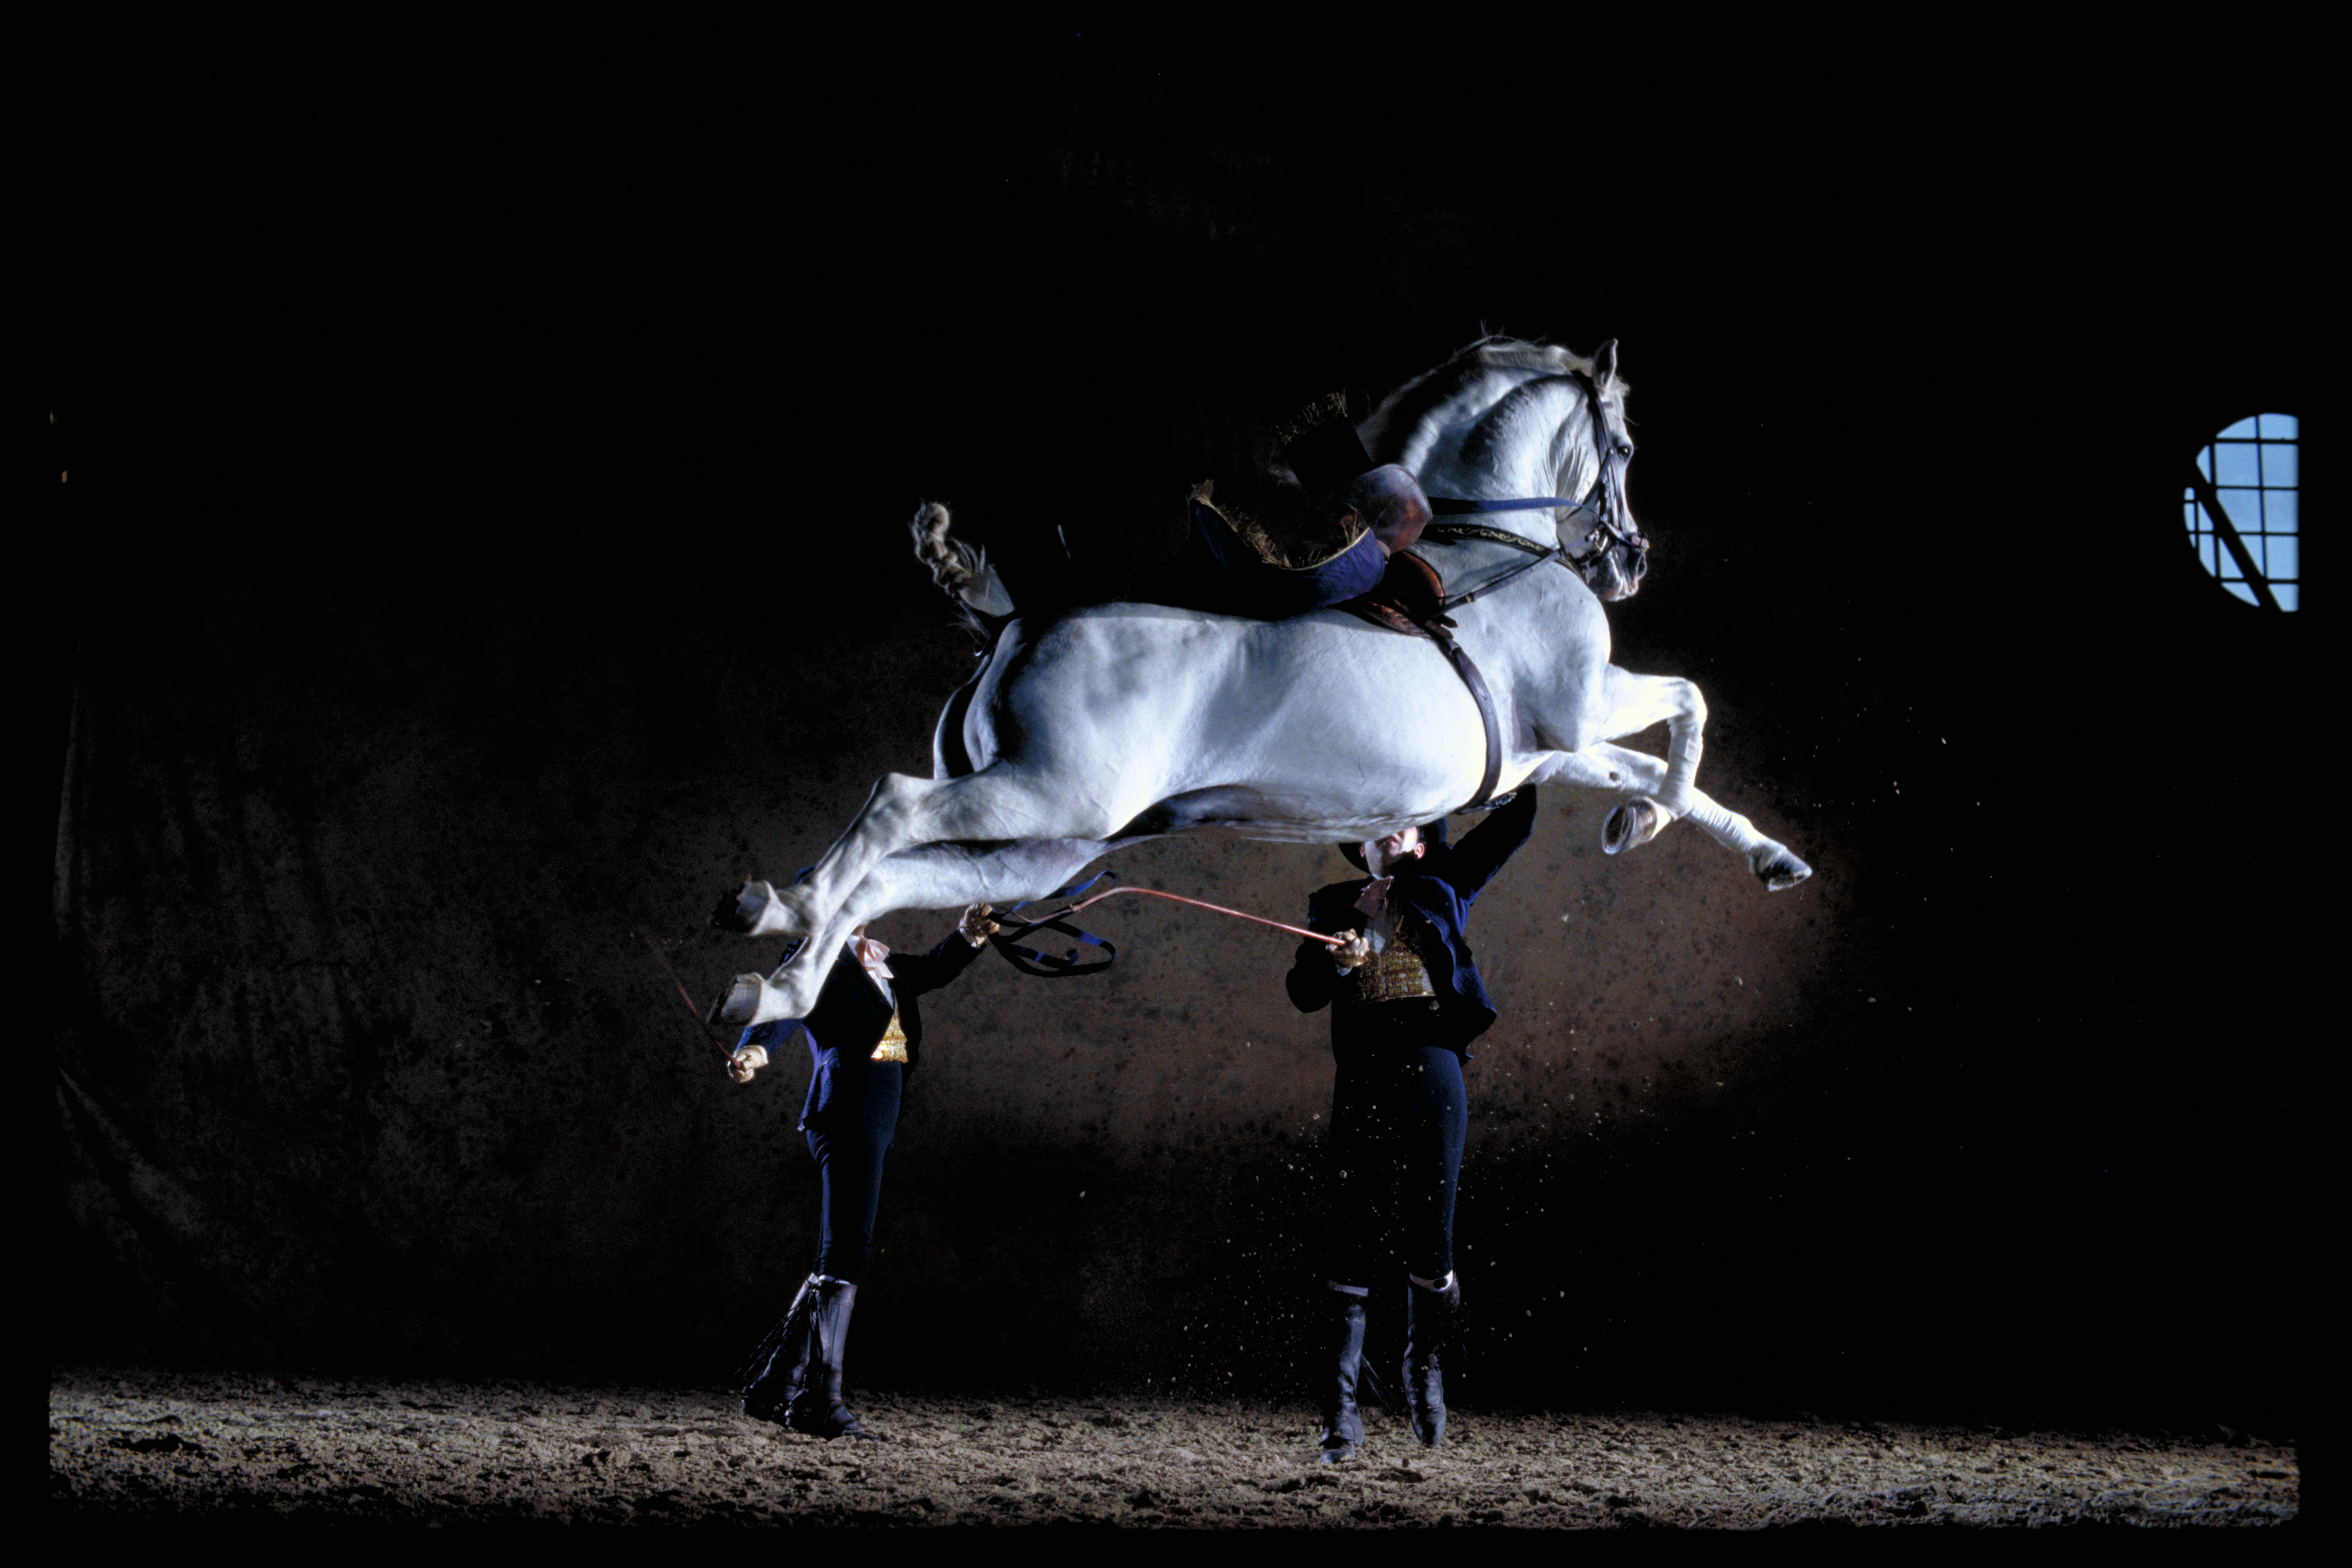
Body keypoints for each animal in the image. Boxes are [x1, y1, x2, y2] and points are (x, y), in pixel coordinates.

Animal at [708, 337, 1811, 1028]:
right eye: (1622, 444)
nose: (1631, 562)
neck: (1492, 548)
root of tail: (1012, 620)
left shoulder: (1545, 751)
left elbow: (1653, 767)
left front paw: (1749, 849)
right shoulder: (1585, 705)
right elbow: (1690, 704)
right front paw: (1648, 822)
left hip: (1045, 847)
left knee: (892, 878)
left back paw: (773, 977)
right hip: (1044, 795)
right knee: (891, 809)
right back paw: (779, 917)